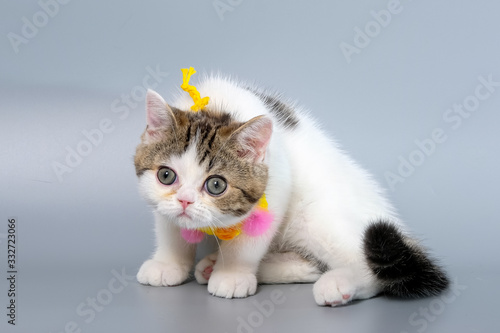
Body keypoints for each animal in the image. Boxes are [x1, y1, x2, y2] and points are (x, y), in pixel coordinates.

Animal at [134, 76, 450, 306]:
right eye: (166, 176)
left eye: (216, 185)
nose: (185, 201)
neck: (215, 106)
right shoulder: (161, 201)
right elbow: (170, 228)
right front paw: (169, 264)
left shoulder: (277, 186)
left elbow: (248, 241)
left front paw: (232, 274)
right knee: (312, 264)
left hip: (321, 217)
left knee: (369, 267)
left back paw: (338, 284)